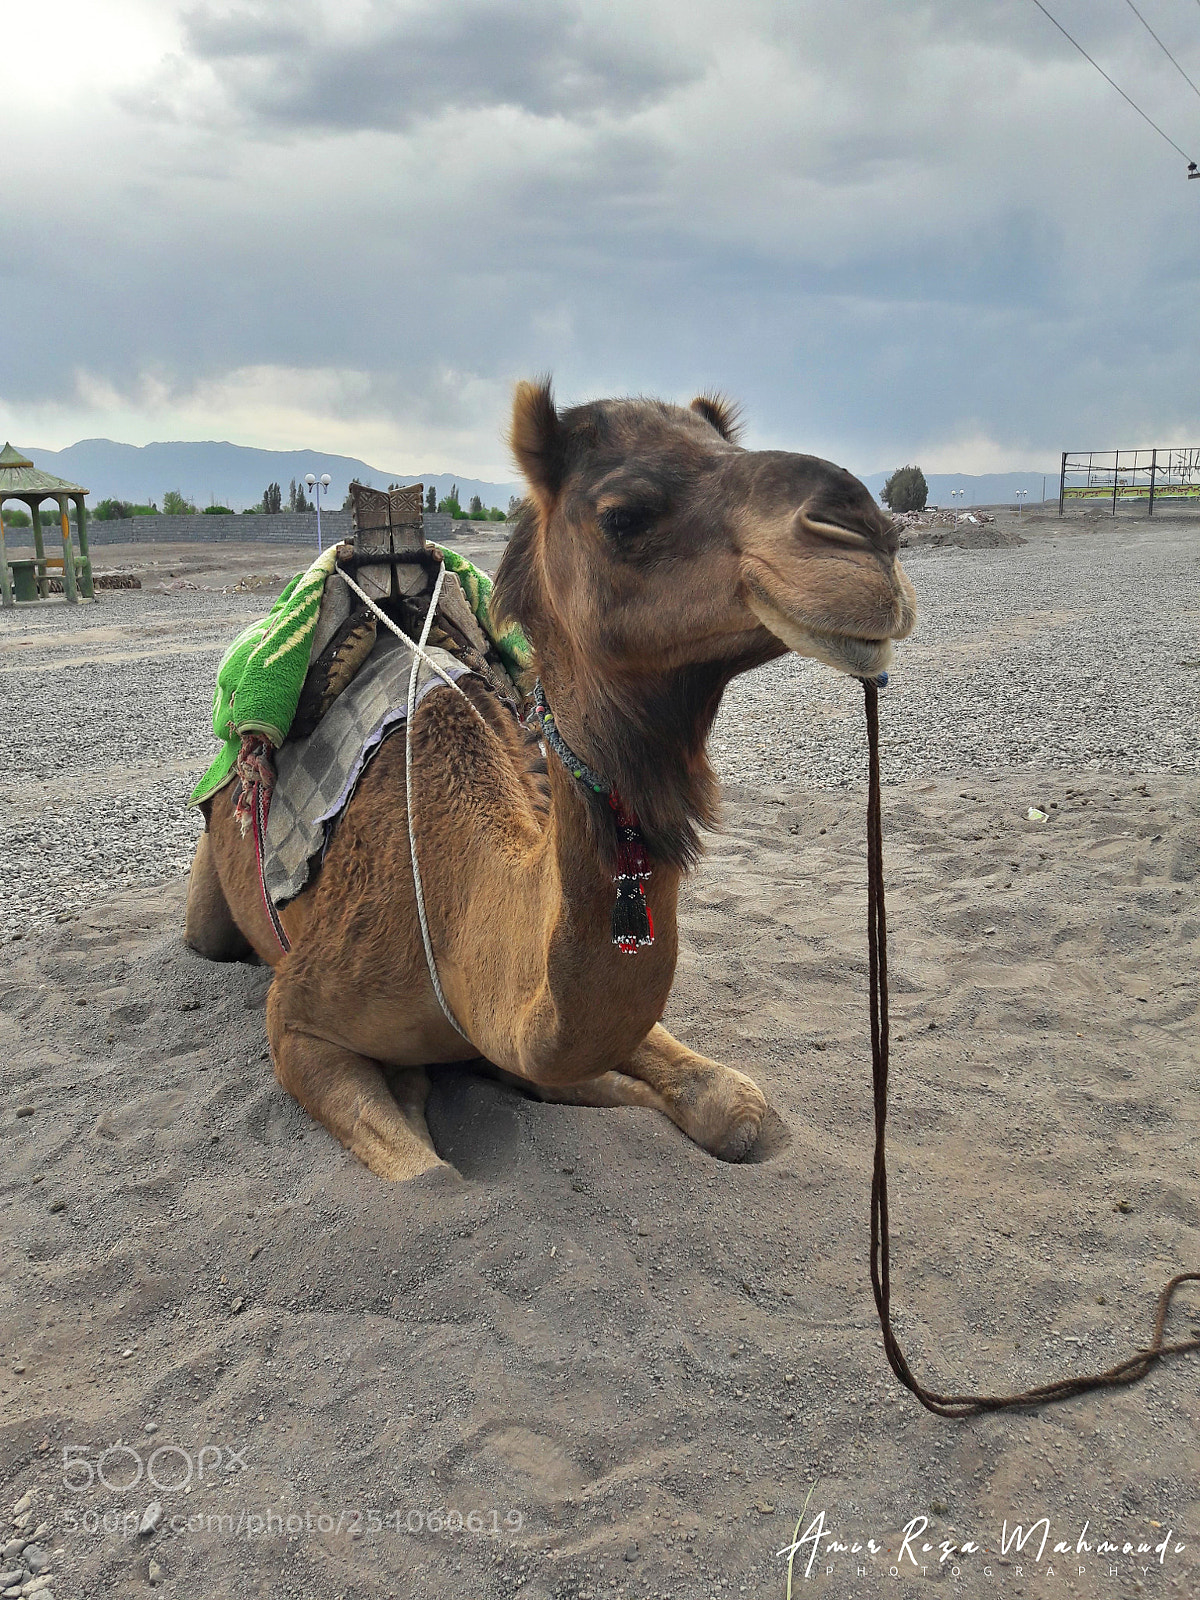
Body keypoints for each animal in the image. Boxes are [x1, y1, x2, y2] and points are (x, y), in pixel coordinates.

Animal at [186, 381, 916, 1181]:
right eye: (623, 515)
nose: (866, 536)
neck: (455, 913)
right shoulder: (296, 1017)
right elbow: (429, 1175)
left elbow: (732, 1104)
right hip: (211, 901)